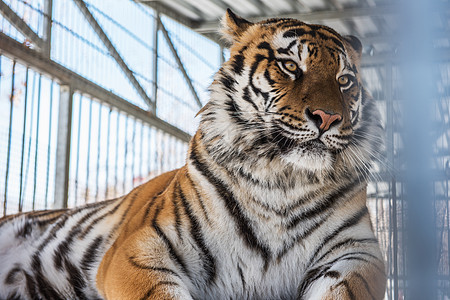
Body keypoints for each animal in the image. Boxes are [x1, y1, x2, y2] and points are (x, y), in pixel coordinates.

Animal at [0, 9, 386, 300]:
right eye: (290, 66)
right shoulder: (138, 248)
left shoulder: (357, 251)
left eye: (345, 80)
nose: (328, 118)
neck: (282, 180)